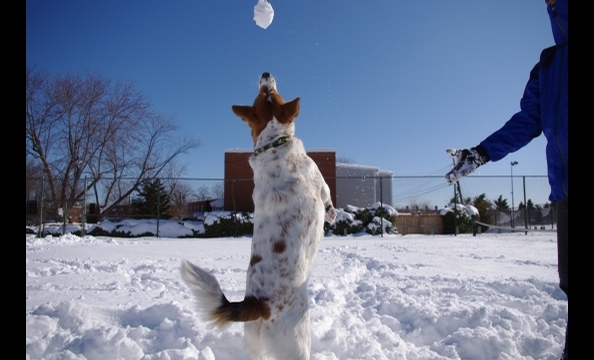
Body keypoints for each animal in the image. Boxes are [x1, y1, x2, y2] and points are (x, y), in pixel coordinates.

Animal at [180, 71, 336, 358]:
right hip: (298, 341)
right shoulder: (320, 183)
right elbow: (329, 199)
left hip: (254, 344)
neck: (273, 146)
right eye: (269, 93)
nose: (266, 74)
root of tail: (255, 304)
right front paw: (332, 214)